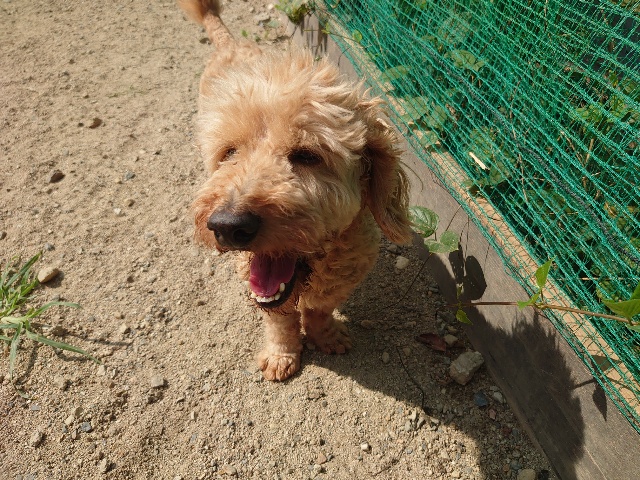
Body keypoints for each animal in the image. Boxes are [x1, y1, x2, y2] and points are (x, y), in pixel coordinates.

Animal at [181, 0, 413, 381]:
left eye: (307, 155)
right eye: (229, 153)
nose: (228, 226)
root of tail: (231, 42)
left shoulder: (344, 274)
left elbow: (318, 310)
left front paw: (326, 336)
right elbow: (279, 320)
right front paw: (281, 355)